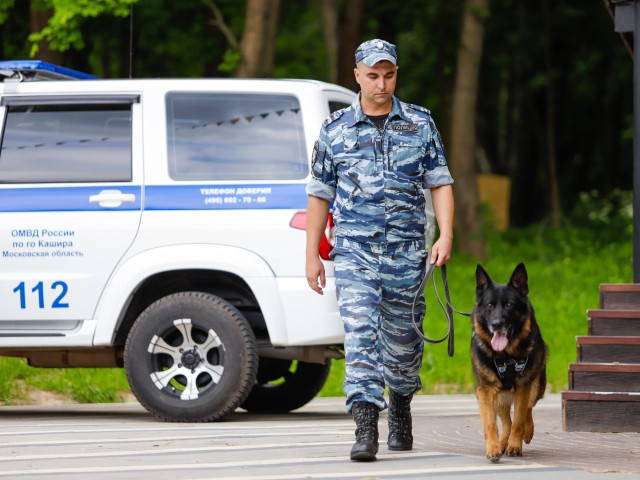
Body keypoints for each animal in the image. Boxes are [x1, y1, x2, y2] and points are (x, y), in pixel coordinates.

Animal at [472, 264, 548, 464]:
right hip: (499, 397)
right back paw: (502, 442)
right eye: (490, 305)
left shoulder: (523, 386)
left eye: (509, 305)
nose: (497, 324)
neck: (505, 356)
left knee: (527, 409)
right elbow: (490, 424)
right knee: (506, 421)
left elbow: (519, 419)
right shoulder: (485, 390)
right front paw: (493, 448)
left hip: (535, 387)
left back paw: (525, 434)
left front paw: (515, 445)